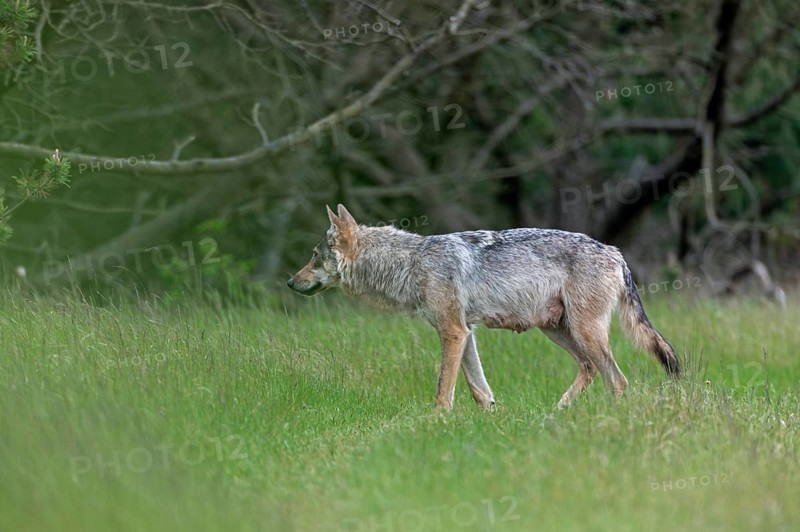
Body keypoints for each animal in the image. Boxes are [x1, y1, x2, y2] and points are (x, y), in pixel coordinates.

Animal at [287, 204, 681, 410]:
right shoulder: (467, 333)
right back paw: (559, 412)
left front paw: (436, 423)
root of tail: (615, 252)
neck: (412, 262)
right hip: (558, 331)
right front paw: (491, 417)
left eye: (313, 257)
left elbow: (443, 389)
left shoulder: (453, 332)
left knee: (617, 378)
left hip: (583, 333)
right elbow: (479, 389)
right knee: (592, 370)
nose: (291, 281)